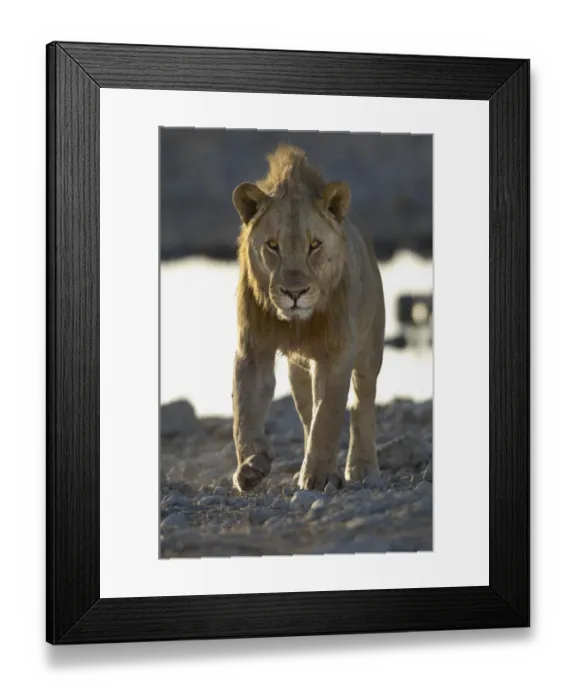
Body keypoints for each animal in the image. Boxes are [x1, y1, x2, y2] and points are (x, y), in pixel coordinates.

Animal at [230, 144, 385, 492]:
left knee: (362, 403)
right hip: (299, 370)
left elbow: (328, 413)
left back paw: (362, 466)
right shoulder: (253, 349)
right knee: (305, 411)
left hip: (370, 349)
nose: (294, 293)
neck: (298, 323)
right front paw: (251, 466)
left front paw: (319, 476)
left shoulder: (338, 352)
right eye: (272, 245)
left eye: (314, 245)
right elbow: (245, 409)